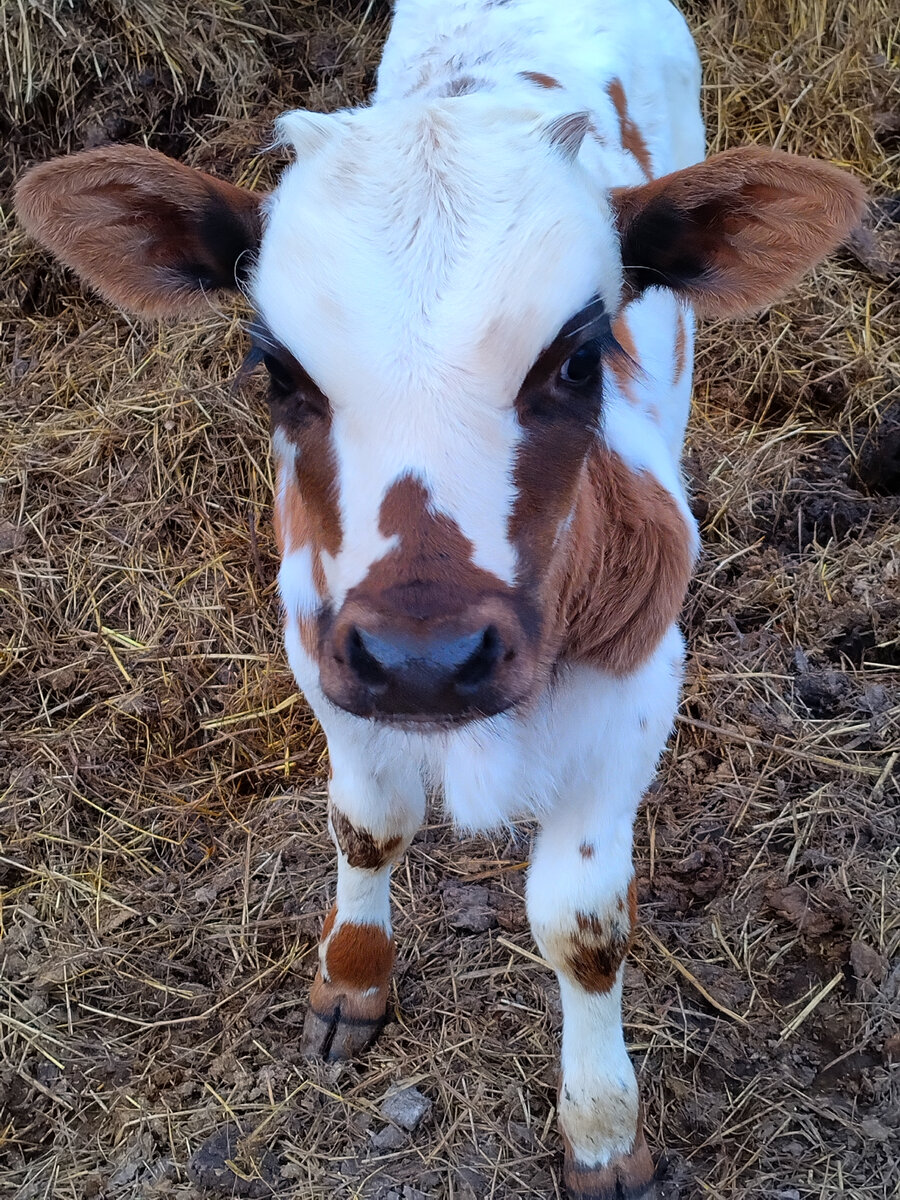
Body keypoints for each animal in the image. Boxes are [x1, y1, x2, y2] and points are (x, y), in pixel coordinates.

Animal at [15, 2, 868, 1190]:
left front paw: (605, 1132)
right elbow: (368, 823)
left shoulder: (641, 679)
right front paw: (352, 979)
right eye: (277, 369)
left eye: (578, 359)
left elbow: (582, 925)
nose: (426, 659)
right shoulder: (319, 644)